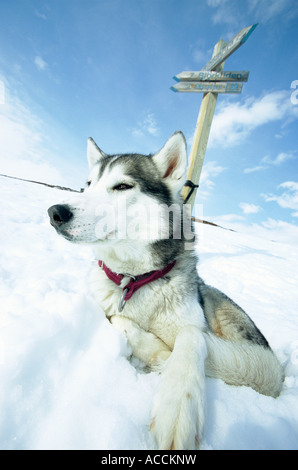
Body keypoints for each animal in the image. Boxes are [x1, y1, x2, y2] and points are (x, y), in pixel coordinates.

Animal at [48, 131, 284, 448]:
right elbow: (119, 319)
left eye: (122, 186)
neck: (135, 280)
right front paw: (158, 352)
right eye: (87, 185)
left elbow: (191, 336)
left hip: (217, 303)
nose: (55, 212)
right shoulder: (107, 305)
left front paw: (178, 407)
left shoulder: (193, 324)